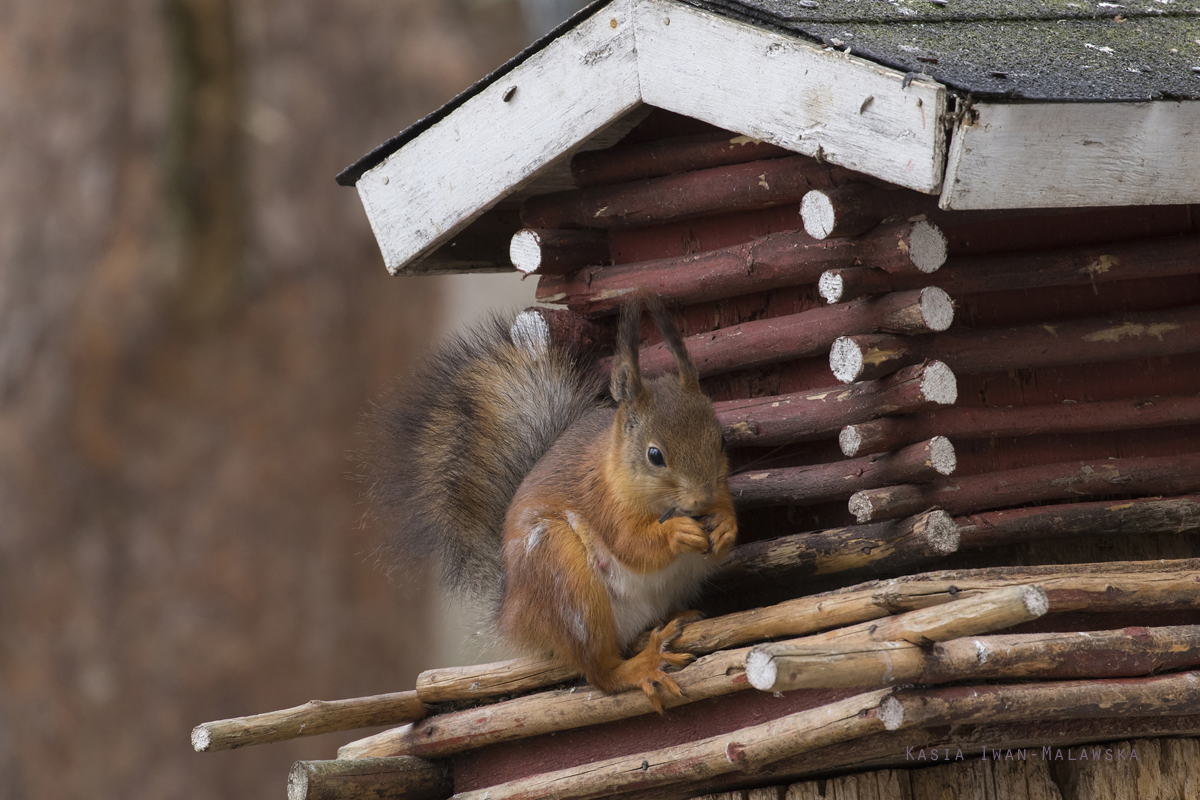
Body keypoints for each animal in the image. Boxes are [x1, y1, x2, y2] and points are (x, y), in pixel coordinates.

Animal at [364, 298, 734, 705]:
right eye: (655, 455)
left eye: (721, 440)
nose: (702, 500)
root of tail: (514, 613)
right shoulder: (601, 502)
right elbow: (633, 544)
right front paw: (677, 533)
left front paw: (725, 526)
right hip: (563, 576)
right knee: (600, 672)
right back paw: (641, 666)